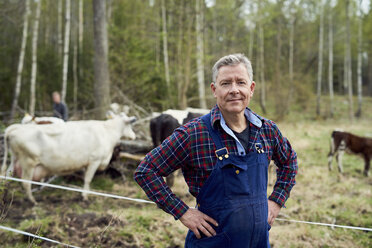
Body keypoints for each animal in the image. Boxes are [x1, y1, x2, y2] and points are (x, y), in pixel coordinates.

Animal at [1, 113, 135, 202]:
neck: (107, 131)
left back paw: (5, 196)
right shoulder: (94, 160)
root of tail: (15, 127)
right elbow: (88, 179)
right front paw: (84, 197)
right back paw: (32, 201)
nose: (134, 136)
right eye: (130, 124)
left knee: (7, 176)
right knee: (25, 182)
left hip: (14, 159)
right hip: (28, 162)